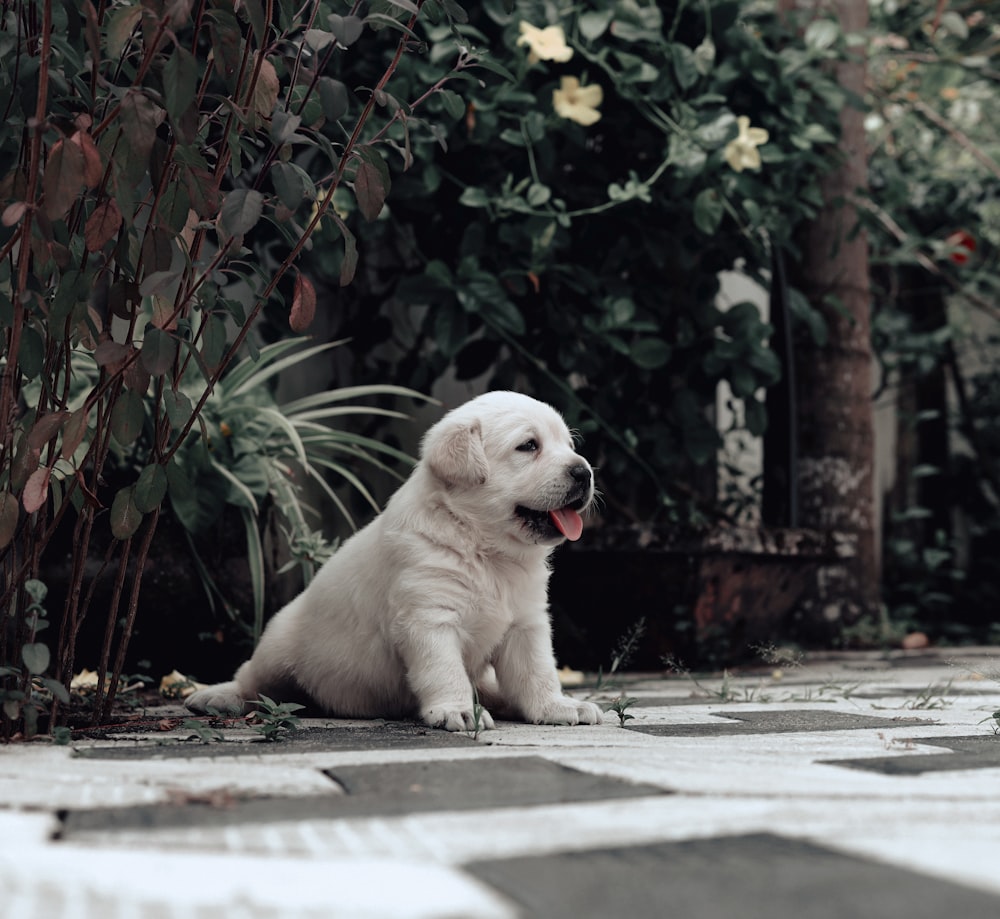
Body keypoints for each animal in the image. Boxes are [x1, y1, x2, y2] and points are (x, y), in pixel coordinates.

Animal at [187, 390, 600, 732]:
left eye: (568, 444)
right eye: (528, 446)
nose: (584, 472)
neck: (485, 550)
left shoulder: (525, 624)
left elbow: (537, 672)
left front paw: (556, 706)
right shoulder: (429, 618)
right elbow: (445, 670)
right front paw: (456, 710)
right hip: (276, 646)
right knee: (252, 682)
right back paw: (216, 696)